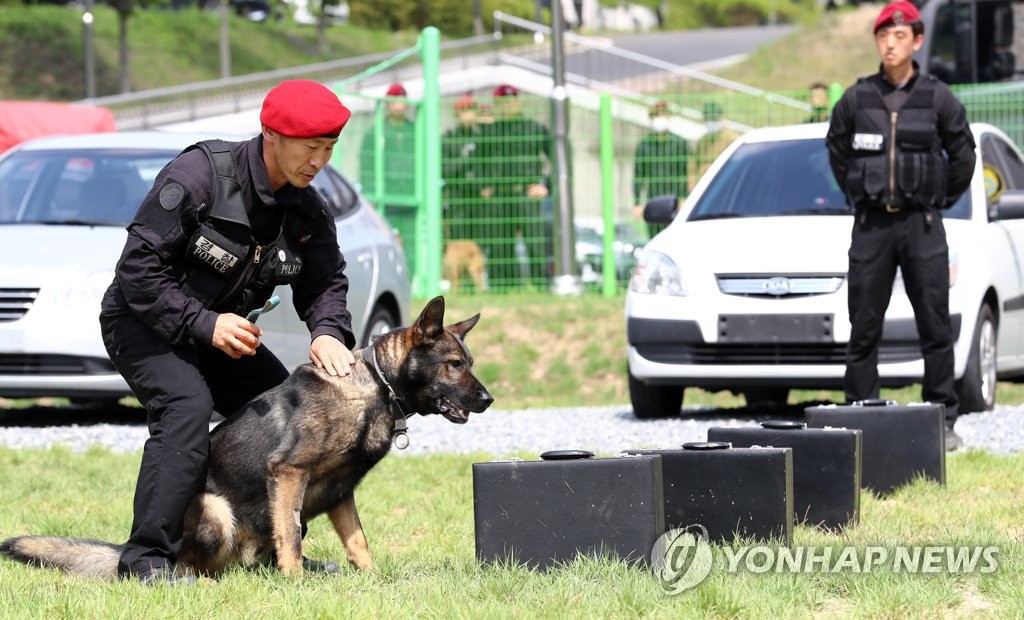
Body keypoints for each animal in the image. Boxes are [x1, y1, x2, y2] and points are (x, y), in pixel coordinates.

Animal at [0, 297, 495, 577]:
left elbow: (358, 542)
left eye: (468, 362)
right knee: (197, 565)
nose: (489, 399)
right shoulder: (288, 473)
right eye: (454, 365)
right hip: (217, 513)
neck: (375, 385)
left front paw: (372, 580)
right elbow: (290, 534)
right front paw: (295, 582)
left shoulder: (340, 494)